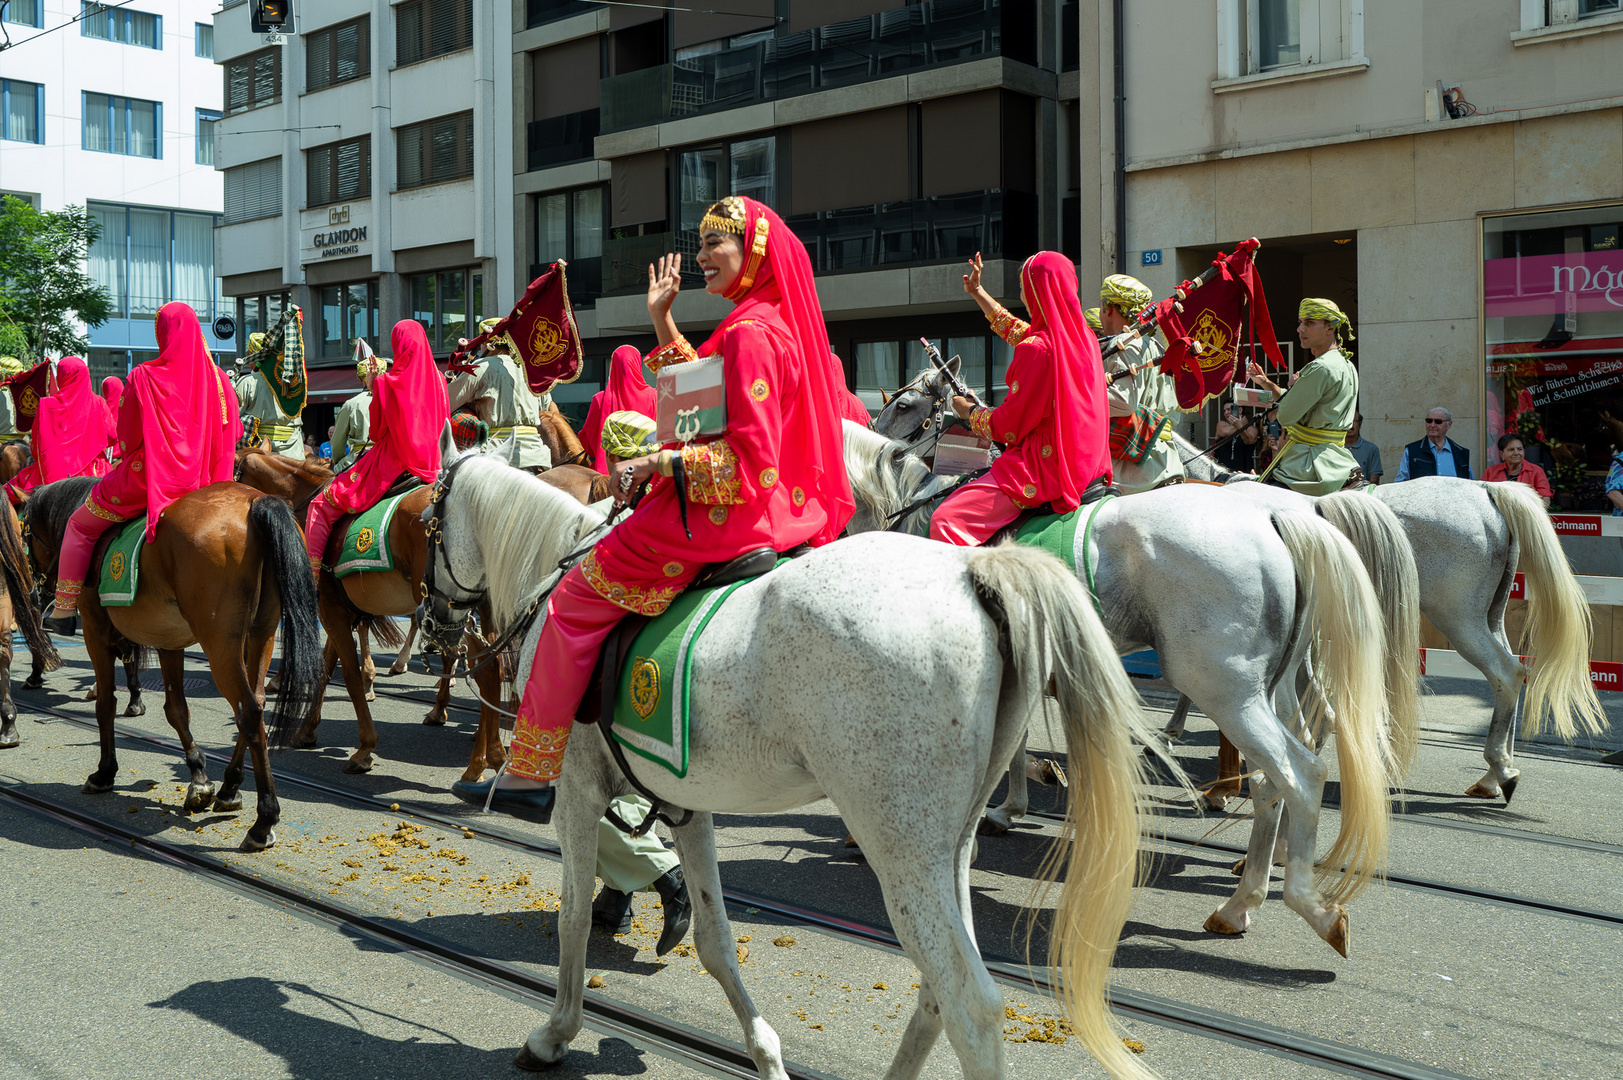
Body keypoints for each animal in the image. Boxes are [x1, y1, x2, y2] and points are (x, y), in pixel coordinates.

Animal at [23, 477, 322, 844]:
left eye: (26, 535)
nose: (35, 592)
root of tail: (255, 501)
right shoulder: (169, 641)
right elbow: (176, 709)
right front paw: (200, 778)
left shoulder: (95, 632)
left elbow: (106, 703)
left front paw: (105, 772)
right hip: (261, 634)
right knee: (255, 704)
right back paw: (229, 787)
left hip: (220, 643)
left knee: (249, 711)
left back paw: (263, 821)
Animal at [415, 451, 1181, 1078]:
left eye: (426, 521)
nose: (435, 622)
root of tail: (972, 572)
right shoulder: (686, 803)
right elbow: (715, 938)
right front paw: (765, 1053)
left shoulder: (577, 787)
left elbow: (571, 914)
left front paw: (553, 1036)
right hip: (945, 847)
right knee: (936, 989)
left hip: (900, 847)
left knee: (970, 1003)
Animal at [843, 422, 1415, 954]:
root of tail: (1277, 518)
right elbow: (1016, 743)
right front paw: (1013, 803)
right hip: (1271, 690)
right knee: (1274, 778)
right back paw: (1243, 897)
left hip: (1226, 691)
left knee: (1301, 774)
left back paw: (1304, 905)